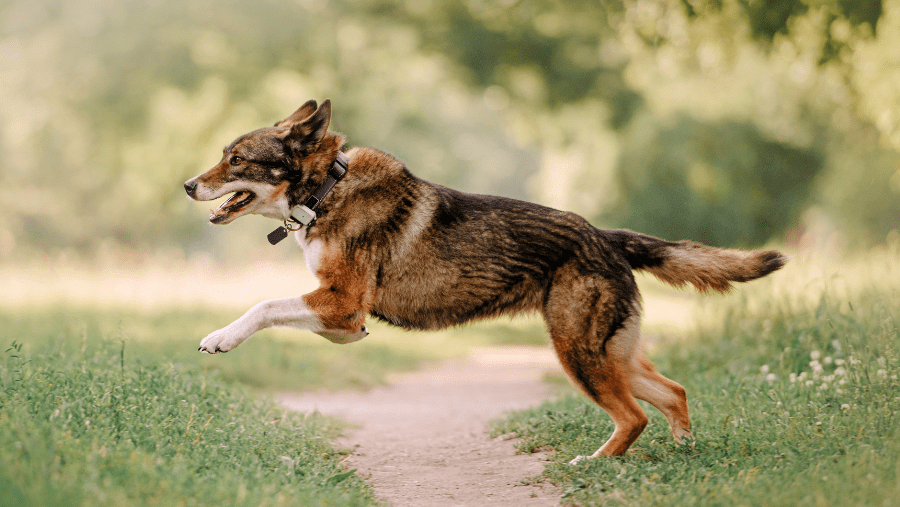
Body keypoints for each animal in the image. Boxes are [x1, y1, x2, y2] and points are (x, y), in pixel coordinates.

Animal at [185, 99, 788, 460]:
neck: (325, 191)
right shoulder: (343, 318)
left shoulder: (342, 302)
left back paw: (596, 464)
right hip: (609, 354)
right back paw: (683, 453)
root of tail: (606, 236)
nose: (188, 185)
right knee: (673, 393)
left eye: (236, 160)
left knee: (635, 416)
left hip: (578, 352)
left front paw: (220, 337)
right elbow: (287, 311)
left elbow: (264, 305)